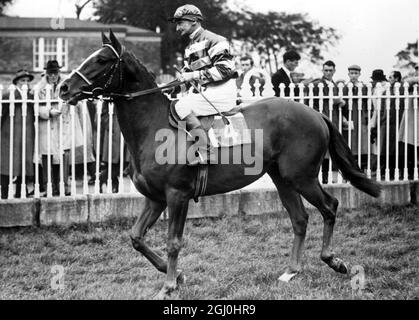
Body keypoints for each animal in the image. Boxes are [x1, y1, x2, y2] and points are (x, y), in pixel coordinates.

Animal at [59, 31, 380, 298]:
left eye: (101, 60)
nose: (63, 87)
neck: (154, 128)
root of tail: (315, 112)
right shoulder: (155, 197)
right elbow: (136, 237)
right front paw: (177, 275)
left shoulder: (177, 195)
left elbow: (173, 241)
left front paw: (168, 286)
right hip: (282, 178)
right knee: (300, 218)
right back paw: (291, 271)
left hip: (302, 177)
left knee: (330, 206)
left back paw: (334, 260)